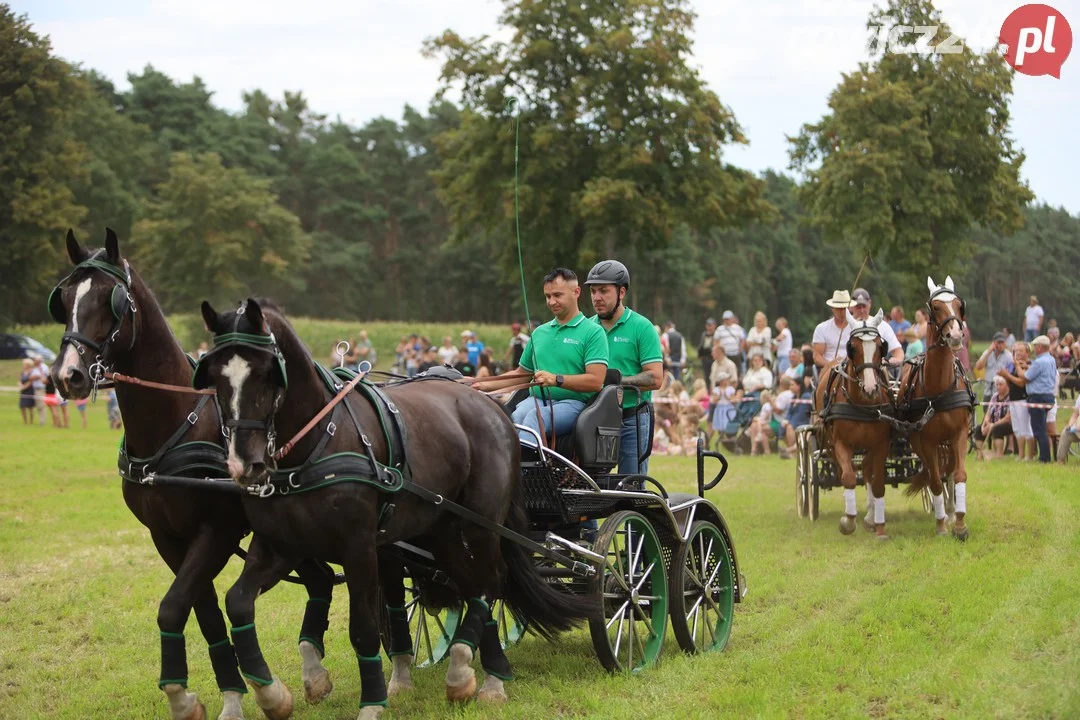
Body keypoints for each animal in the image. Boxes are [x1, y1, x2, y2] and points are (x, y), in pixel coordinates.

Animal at [812, 313, 894, 537]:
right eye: (853, 347)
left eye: (880, 346)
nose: (870, 388)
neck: (862, 404)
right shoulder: (841, 443)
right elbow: (848, 477)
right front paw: (848, 521)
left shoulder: (880, 444)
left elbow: (877, 482)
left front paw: (875, 522)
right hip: (829, 443)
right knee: (843, 472)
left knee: (865, 469)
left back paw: (870, 514)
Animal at [898, 276, 976, 539]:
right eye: (935, 307)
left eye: (959, 305)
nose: (956, 335)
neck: (939, 387)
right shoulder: (927, 441)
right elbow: (933, 481)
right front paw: (941, 526)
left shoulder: (959, 434)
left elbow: (958, 474)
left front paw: (960, 524)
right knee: (936, 476)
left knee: (948, 473)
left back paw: (952, 511)